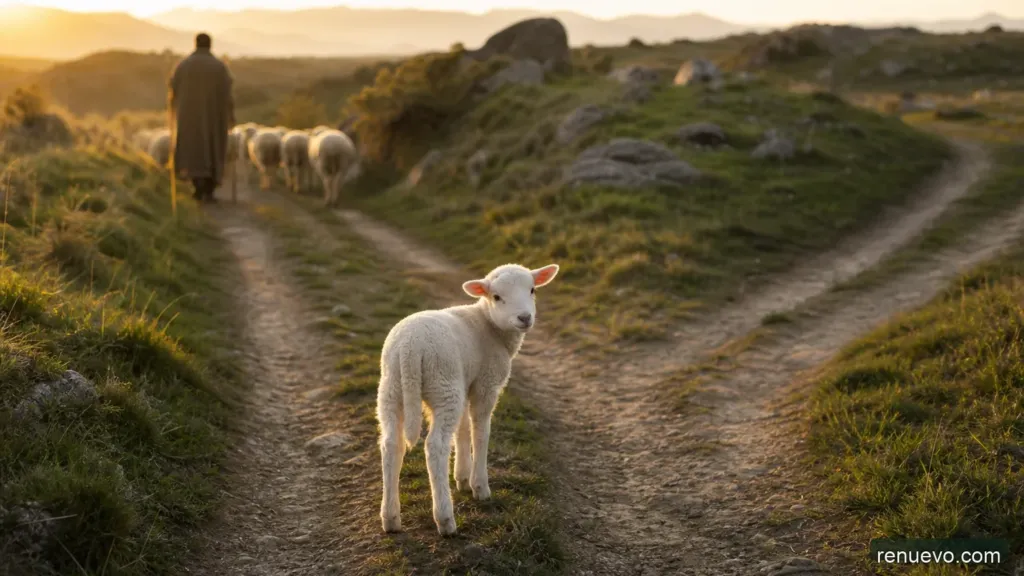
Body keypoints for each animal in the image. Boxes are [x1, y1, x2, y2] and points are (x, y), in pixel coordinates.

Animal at [376, 262, 560, 536]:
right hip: (442, 383)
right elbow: (480, 432)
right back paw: (445, 519)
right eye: (497, 297)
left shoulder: (465, 381)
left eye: (532, 290)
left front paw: (461, 477)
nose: (524, 318)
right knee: (436, 447)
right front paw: (479, 487)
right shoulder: (485, 384)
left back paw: (390, 518)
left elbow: (462, 430)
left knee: (391, 445)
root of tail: (410, 349)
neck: (488, 325)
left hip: (393, 389)